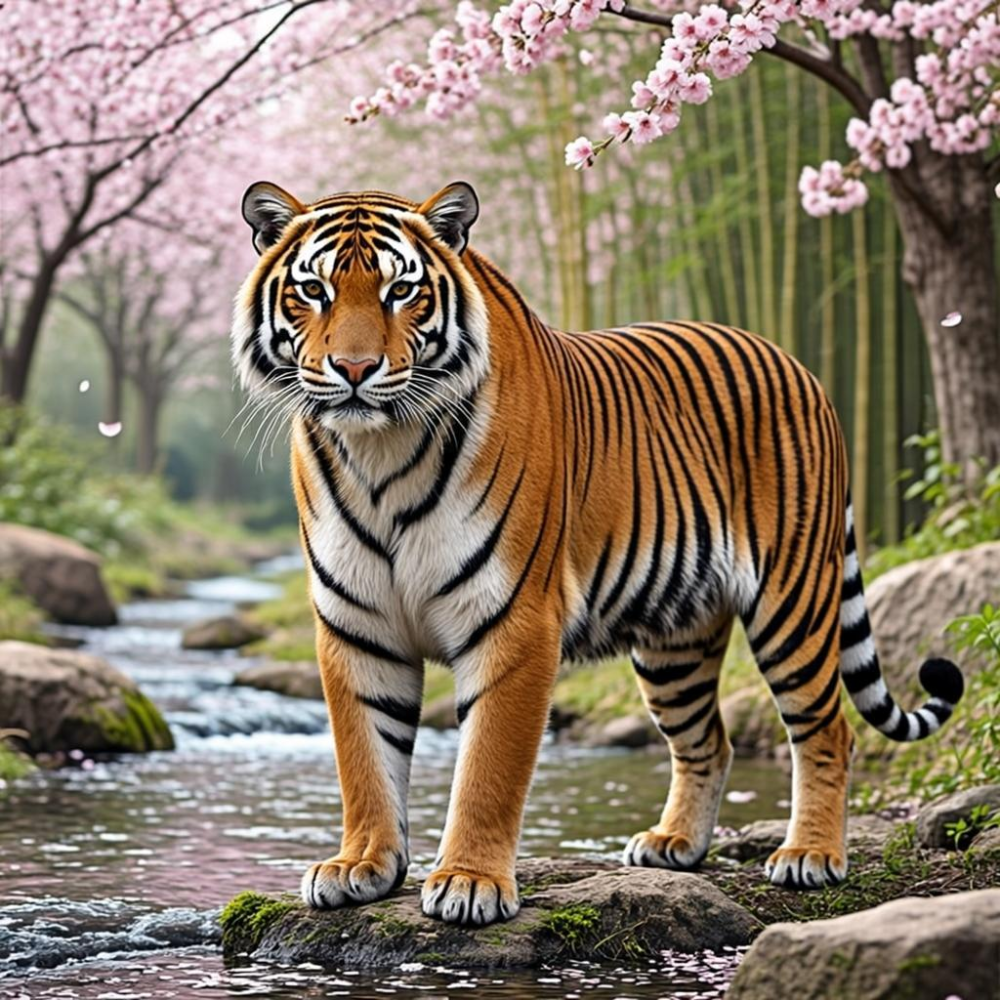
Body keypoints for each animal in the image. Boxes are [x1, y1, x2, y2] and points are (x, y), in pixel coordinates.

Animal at [231, 179, 964, 927]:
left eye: (401, 291)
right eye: (314, 290)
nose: (354, 369)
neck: (380, 452)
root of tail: (798, 366)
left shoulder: (516, 623)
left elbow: (488, 767)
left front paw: (469, 882)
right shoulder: (356, 627)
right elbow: (365, 758)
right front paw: (360, 866)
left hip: (793, 600)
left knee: (827, 728)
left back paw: (810, 855)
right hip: (676, 640)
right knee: (708, 739)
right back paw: (673, 845)